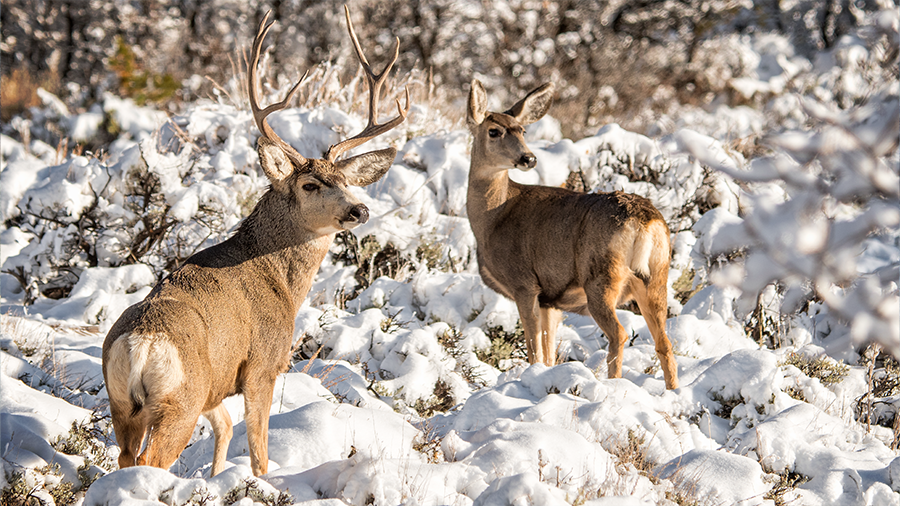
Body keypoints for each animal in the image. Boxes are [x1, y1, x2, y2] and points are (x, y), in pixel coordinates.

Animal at [101, 7, 409, 477]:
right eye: (309, 184)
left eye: (345, 181)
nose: (359, 210)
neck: (278, 280)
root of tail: (140, 345)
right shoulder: (263, 363)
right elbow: (260, 454)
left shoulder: (220, 384)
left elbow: (226, 429)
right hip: (179, 401)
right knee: (151, 460)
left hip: (124, 405)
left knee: (124, 457)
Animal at [464, 80, 678, 390]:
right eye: (494, 131)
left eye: (522, 130)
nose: (528, 158)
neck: (493, 218)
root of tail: (643, 221)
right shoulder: (550, 300)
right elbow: (549, 351)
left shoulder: (524, 283)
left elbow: (535, 349)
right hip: (656, 276)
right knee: (665, 343)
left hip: (601, 277)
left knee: (619, 334)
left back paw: (613, 386)